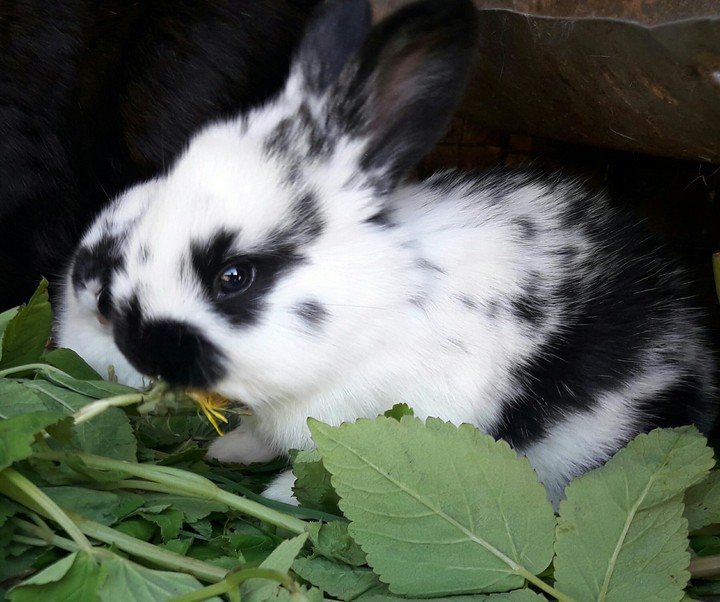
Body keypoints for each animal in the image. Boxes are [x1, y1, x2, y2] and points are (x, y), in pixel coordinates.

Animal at [56, 0, 716, 507]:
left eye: (234, 276)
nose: (138, 346)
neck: (377, 308)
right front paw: (231, 449)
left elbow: (324, 476)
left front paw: (277, 496)